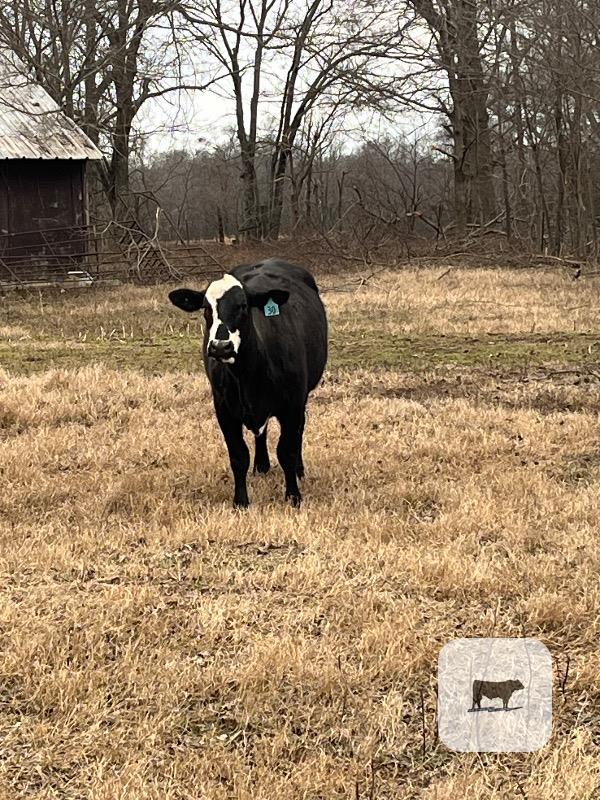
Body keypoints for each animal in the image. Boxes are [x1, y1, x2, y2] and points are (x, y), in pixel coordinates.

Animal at [168, 259, 327, 508]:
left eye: (243, 306)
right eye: (206, 308)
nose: (220, 347)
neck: (249, 375)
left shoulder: (292, 405)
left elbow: (287, 451)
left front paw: (293, 496)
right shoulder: (224, 409)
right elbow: (238, 455)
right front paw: (241, 500)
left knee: (298, 433)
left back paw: (299, 470)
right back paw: (261, 465)